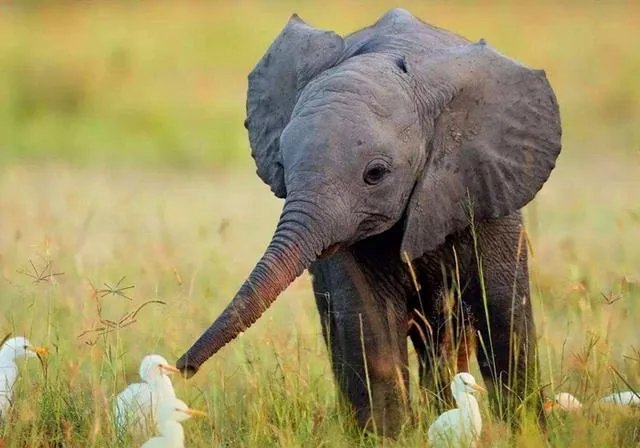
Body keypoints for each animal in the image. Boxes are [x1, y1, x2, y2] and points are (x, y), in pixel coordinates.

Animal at [177, 8, 561, 437]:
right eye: (281, 165)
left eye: (375, 174)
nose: (183, 368)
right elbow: (369, 323)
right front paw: (389, 438)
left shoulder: (486, 187)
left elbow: (504, 318)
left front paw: (528, 433)